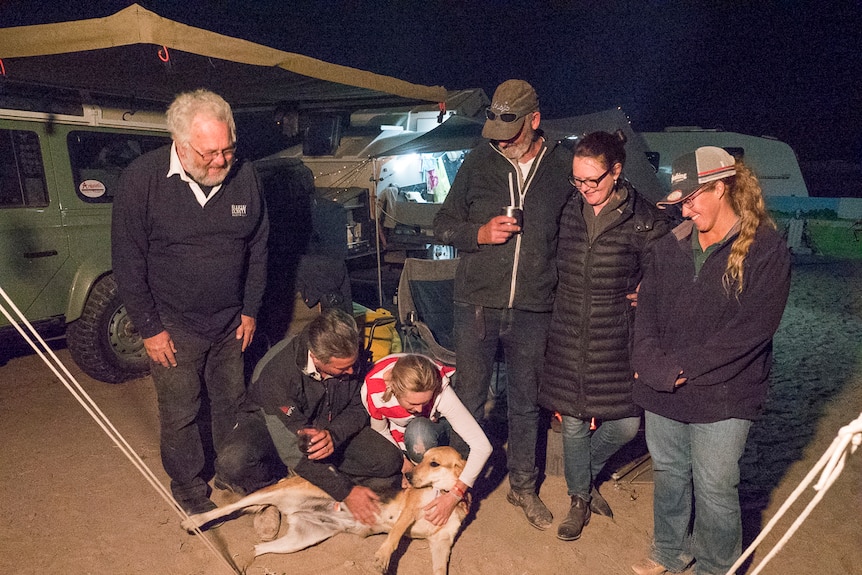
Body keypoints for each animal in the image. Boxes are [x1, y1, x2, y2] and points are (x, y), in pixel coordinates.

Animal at [178, 446, 470, 575]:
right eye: (422, 459)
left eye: (434, 463)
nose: (407, 477)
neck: (444, 495)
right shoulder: (408, 513)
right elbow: (395, 535)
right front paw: (382, 557)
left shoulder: (442, 544)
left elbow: (440, 570)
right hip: (271, 493)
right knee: (228, 508)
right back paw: (193, 521)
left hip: (299, 540)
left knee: (257, 549)